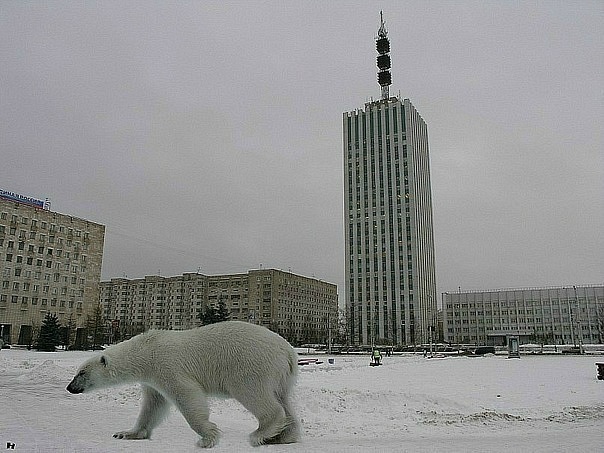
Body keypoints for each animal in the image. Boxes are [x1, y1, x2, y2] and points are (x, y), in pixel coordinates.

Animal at [66, 320, 300, 446]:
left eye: (82, 372)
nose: (70, 387)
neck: (145, 352)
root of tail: (287, 351)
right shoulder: (152, 380)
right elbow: (153, 405)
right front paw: (127, 433)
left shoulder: (166, 366)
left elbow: (187, 395)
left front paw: (207, 437)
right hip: (281, 377)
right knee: (284, 400)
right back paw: (283, 437)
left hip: (250, 365)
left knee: (255, 394)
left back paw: (260, 434)